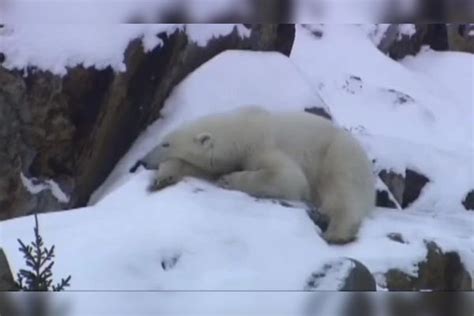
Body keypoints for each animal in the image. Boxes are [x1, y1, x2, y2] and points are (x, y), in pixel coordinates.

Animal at [140, 107, 374, 244]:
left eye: (166, 143)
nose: (143, 161)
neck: (243, 129)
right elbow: (200, 168)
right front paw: (164, 177)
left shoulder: (262, 145)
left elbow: (289, 178)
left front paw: (228, 180)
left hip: (338, 155)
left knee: (343, 191)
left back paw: (336, 232)